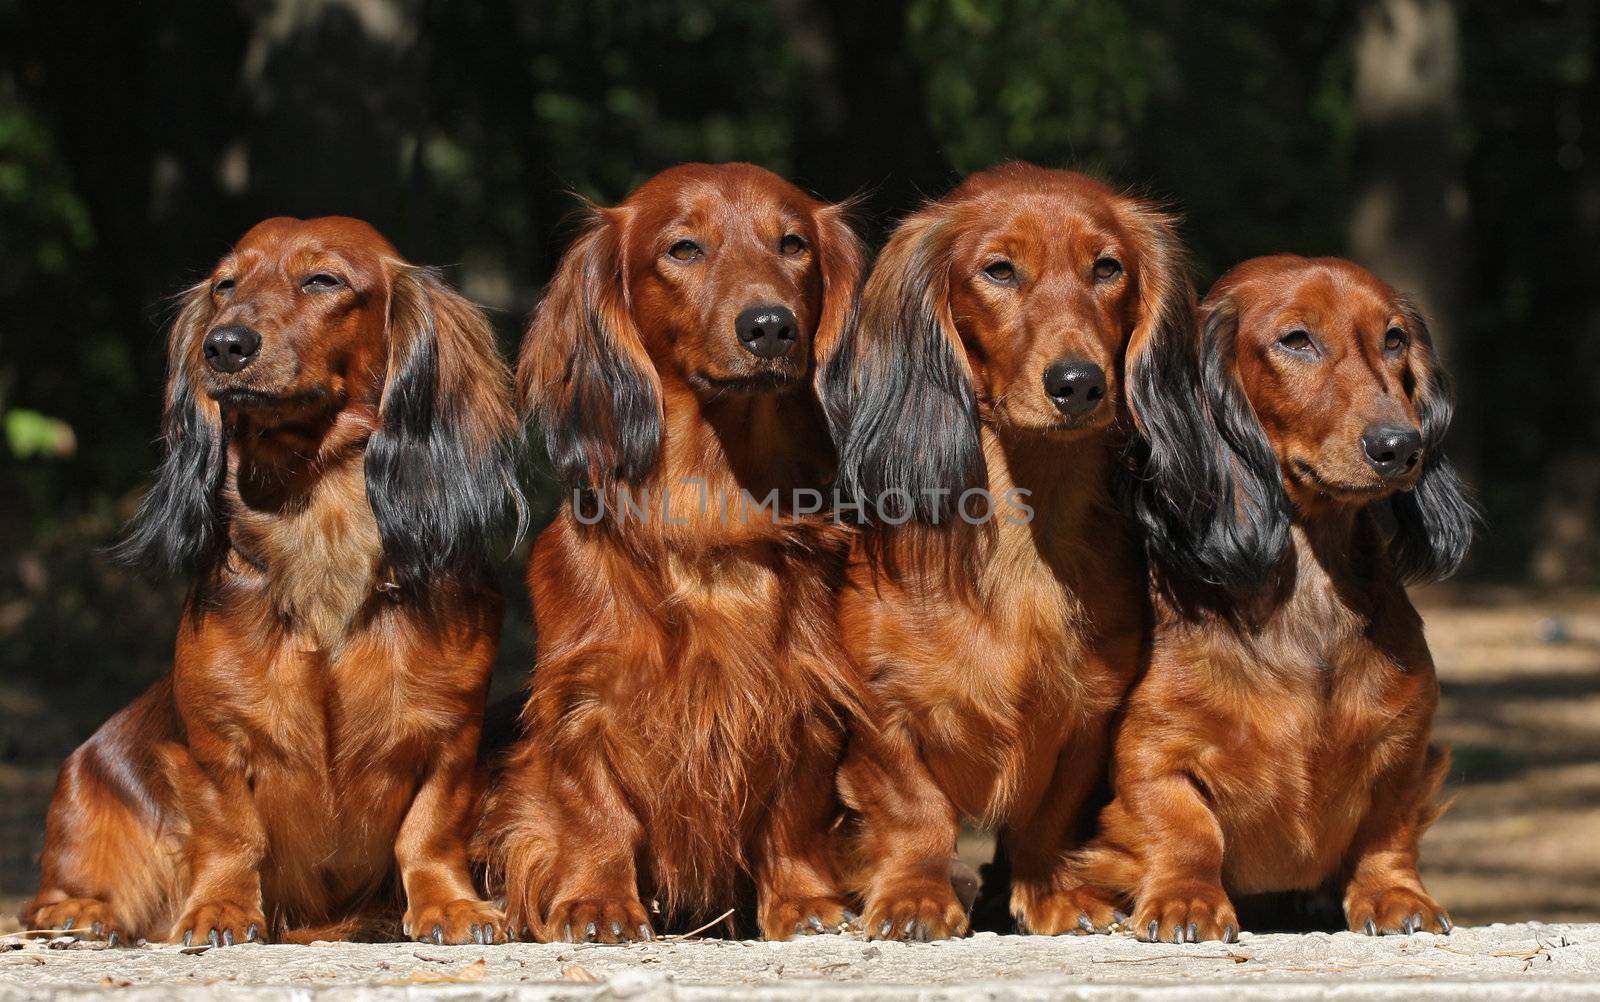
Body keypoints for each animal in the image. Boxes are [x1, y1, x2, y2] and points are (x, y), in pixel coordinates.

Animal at [20, 217, 518, 941]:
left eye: (323, 280)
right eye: (225, 285)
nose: (223, 345)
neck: (321, 527)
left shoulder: (452, 736)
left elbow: (428, 831)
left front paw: (450, 904)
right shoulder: (213, 743)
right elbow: (232, 831)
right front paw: (221, 909)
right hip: (85, 783)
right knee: (43, 899)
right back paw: (82, 911)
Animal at [480, 161, 864, 934]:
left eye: (794, 245)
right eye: (684, 249)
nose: (770, 327)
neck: (711, 498)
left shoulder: (807, 692)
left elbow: (795, 811)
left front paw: (805, 900)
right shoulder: (584, 697)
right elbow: (595, 809)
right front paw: (597, 900)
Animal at [819, 164, 1196, 934]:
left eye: (1107, 268)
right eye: (998, 270)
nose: (1078, 383)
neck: (1026, 537)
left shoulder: (1089, 717)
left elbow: (1046, 822)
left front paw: (1057, 895)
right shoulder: (879, 709)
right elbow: (913, 810)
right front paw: (914, 894)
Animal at [1068, 252, 1478, 941]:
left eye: (1394, 339)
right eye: (1296, 340)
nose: (1400, 446)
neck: (1308, 589)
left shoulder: (1402, 746)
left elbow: (1388, 830)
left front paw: (1397, 896)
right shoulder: (1155, 748)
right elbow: (1184, 827)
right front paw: (1185, 900)